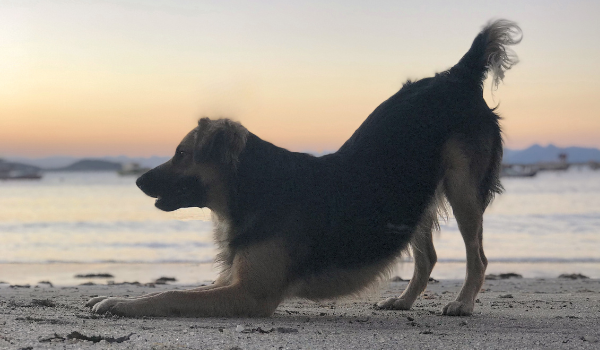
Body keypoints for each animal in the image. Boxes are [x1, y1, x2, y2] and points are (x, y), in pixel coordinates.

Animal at [85, 20, 520, 318]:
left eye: (180, 153)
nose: (137, 180)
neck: (253, 188)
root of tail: (457, 75)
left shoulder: (250, 294)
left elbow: (171, 294)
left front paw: (118, 303)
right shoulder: (232, 281)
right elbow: (177, 291)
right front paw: (113, 296)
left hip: (462, 186)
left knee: (477, 256)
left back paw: (463, 303)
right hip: (415, 192)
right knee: (427, 256)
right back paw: (403, 300)